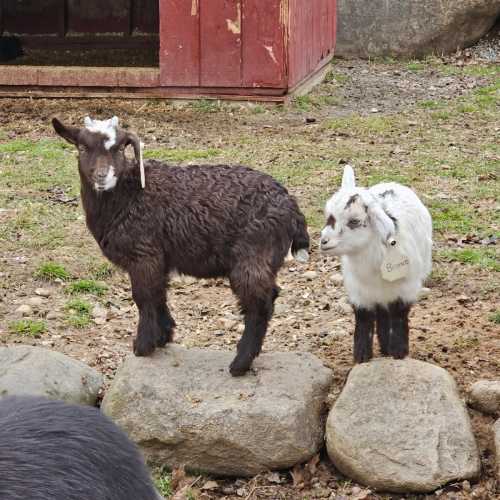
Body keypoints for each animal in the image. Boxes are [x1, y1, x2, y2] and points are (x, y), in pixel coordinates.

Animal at [51, 117, 308, 376]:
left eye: (119, 149)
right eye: (82, 147)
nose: (103, 176)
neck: (129, 196)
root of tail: (291, 207)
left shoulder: (144, 254)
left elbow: (144, 297)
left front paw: (143, 346)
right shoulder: (159, 258)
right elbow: (159, 294)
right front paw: (163, 336)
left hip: (253, 253)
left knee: (260, 304)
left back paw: (240, 363)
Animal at [320, 166, 434, 362]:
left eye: (354, 221)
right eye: (329, 217)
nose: (324, 241)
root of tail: (392, 183)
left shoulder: (407, 289)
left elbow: (399, 316)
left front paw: (399, 353)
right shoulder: (358, 292)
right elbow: (363, 320)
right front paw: (361, 356)